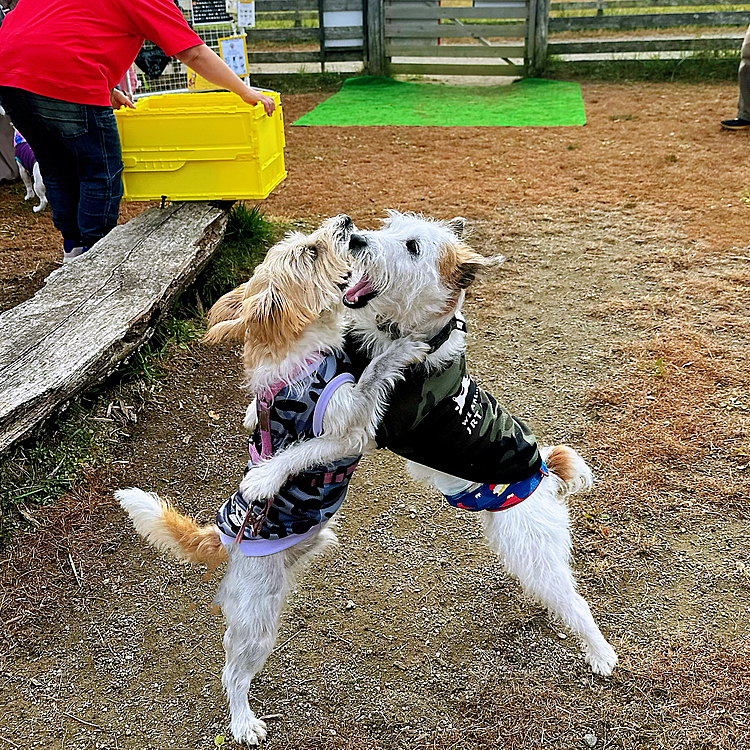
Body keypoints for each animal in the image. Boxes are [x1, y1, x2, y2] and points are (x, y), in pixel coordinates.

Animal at [114, 214, 426, 748]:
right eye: (310, 253)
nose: (346, 222)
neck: (306, 354)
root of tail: (222, 539)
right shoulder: (349, 425)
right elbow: (370, 378)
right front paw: (404, 344)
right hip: (257, 627)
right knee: (232, 675)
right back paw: (243, 722)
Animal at [344, 210, 620, 676]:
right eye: (389, 226)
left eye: (413, 246)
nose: (356, 239)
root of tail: (543, 472)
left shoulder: (370, 426)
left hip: (536, 551)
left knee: (576, 604)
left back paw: (601, 655)